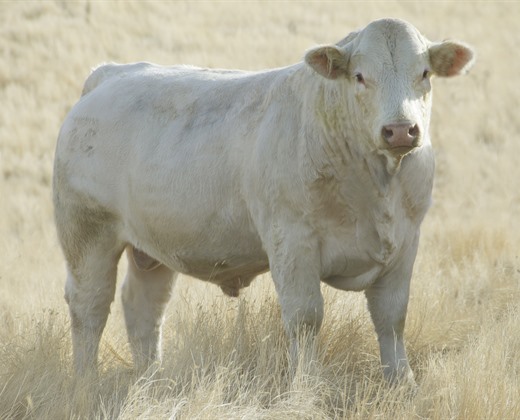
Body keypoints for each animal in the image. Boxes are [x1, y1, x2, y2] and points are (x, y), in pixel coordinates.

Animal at [53, 18, 476, 384]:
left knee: (144, 307)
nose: (401, 130)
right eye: (360, 76)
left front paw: (402, 383)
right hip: (87, 234)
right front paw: (307, 386)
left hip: (154, 247)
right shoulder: (292, 240)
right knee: (90, 306)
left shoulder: (405, 241)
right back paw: (86, 382)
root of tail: (110, 74)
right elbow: (305, 317)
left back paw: (151, 379)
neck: (376, 185)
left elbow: (392, 316)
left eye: (424, 73)